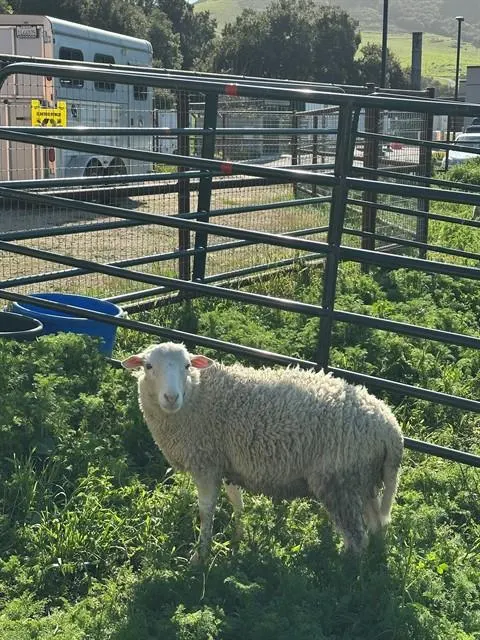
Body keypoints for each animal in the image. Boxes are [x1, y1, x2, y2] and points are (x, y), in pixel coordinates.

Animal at [122, 341, 403, 563]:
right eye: (148, 366)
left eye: (187, 366)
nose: (171, 398)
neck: (197, 396)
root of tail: (390, 428)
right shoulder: (226, 463)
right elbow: (236, 502)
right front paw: (238, 536)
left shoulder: (205, 463)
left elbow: (205, 510)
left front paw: (199, 556)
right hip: (363, 478)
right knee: (376, 524)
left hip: (338, 480)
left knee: (357, 539)